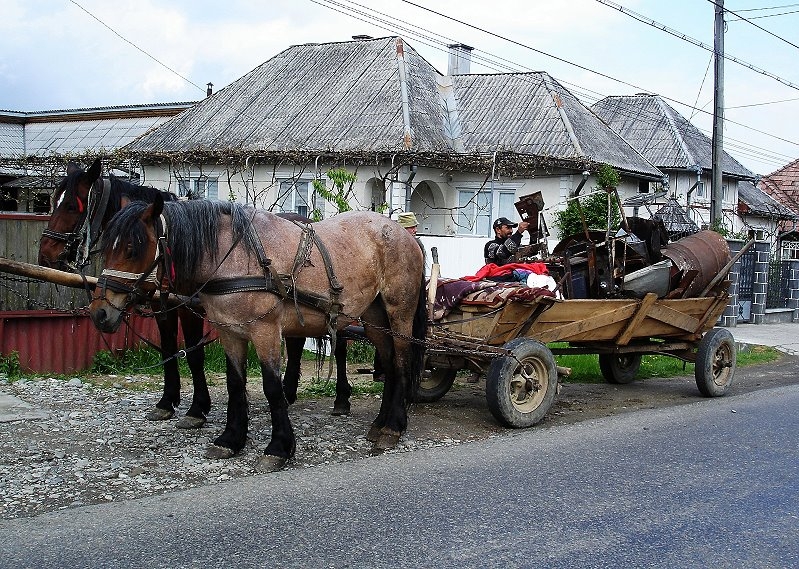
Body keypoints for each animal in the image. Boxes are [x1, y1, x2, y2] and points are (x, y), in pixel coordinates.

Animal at [89, 195, 424, 470]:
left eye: (133, 249)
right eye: (106, 248)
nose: (100, 313)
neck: (235, 256)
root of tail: (404, 235)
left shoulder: (265, 331)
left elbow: (272, 387)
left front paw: (279, 448)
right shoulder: (230, 333)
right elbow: (236, 385)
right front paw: (230, 440)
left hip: (399, 312)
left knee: (401, 362)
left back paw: (393, 427)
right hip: (372, 316)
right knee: (390, 362)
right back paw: (381, 423)